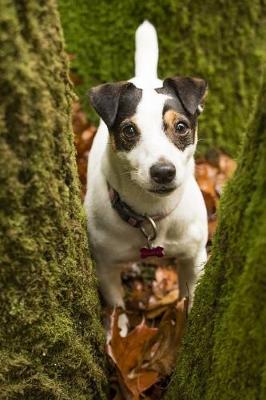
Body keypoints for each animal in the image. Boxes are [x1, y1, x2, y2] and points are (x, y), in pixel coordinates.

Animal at [84, 20, 209, 330]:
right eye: (129, 130)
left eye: (181, 126)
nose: (163, 172)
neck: (152, 213)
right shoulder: (105, 266)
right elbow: (117, 307)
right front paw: (118, 333)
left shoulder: (194, 257)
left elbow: (190, 297)